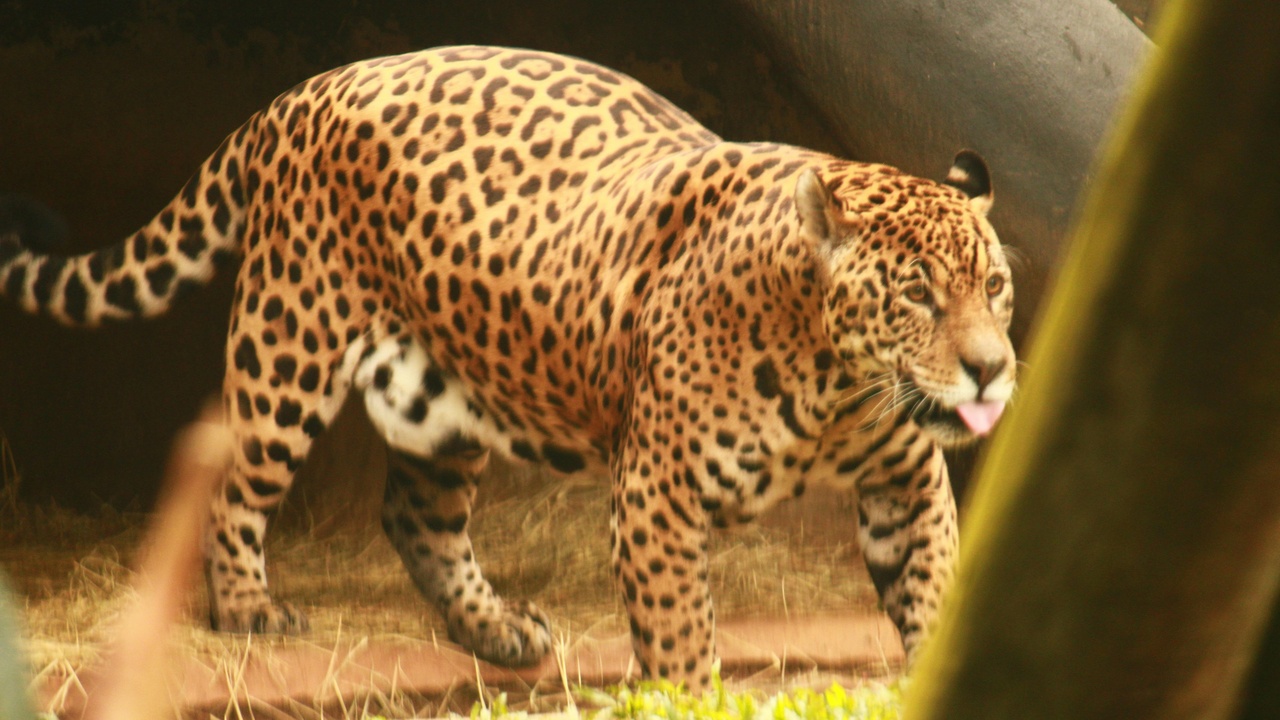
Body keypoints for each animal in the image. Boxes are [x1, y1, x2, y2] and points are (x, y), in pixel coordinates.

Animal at [0, 45, 1016, 688]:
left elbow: (935, 598)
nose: (993, 371)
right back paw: (248, 607)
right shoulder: (658, 496)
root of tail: (305, 89)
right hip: (289, 345)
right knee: (233, 482)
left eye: (996, 285)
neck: (835, 388)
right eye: (918, 294)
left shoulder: (908, 486)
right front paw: (689, 693)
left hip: (438, 393)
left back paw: (496, 630)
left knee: (416, 514)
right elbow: (682, 640)